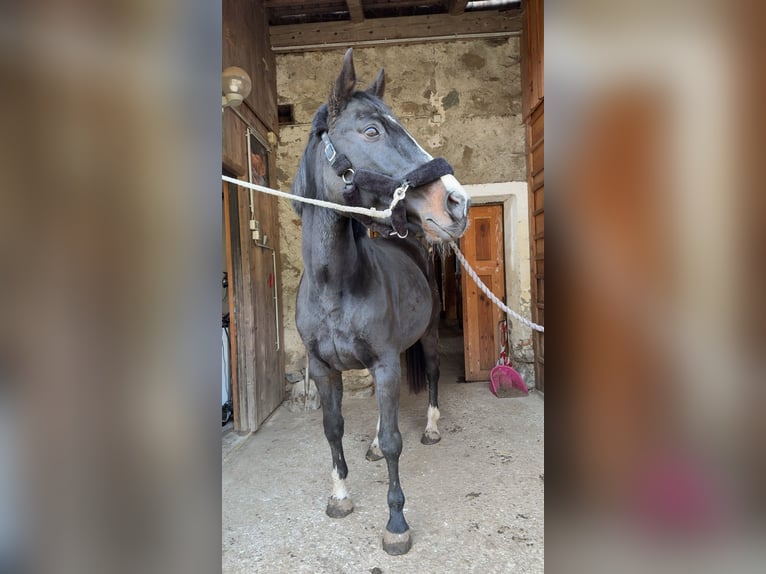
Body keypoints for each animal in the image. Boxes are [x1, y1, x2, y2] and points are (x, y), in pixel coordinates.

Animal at [292, 48, 470, 555]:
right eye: (371, 131)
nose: (457, 202)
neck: (335, 285)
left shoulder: (389, 362)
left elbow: (394, 441)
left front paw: (396, 524)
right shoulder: (323, 368)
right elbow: (333, 428)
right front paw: (339, 497)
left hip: (426, 339)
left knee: (432, 378)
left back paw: (431, 428)